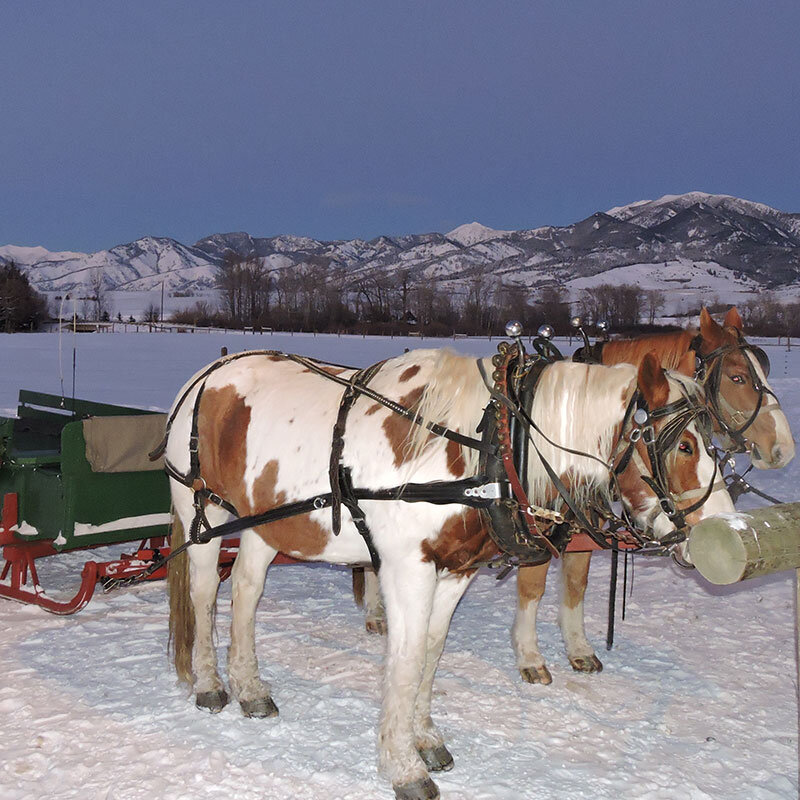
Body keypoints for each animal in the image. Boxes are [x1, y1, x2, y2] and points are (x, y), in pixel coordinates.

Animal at [166, 344, 734, 800]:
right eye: (684, 445)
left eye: (714, 445)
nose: (722, 533)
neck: (485, 448)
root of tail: (209, 372)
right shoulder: (406, 569)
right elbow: (405, 658)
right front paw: (402, 766)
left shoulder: (455, 571)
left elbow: (431, 652)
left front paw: (425, 738)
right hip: (203, 514)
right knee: (205, 593)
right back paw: (211, 683)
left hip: (265, 525)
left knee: (245, 591)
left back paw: (250, 688)